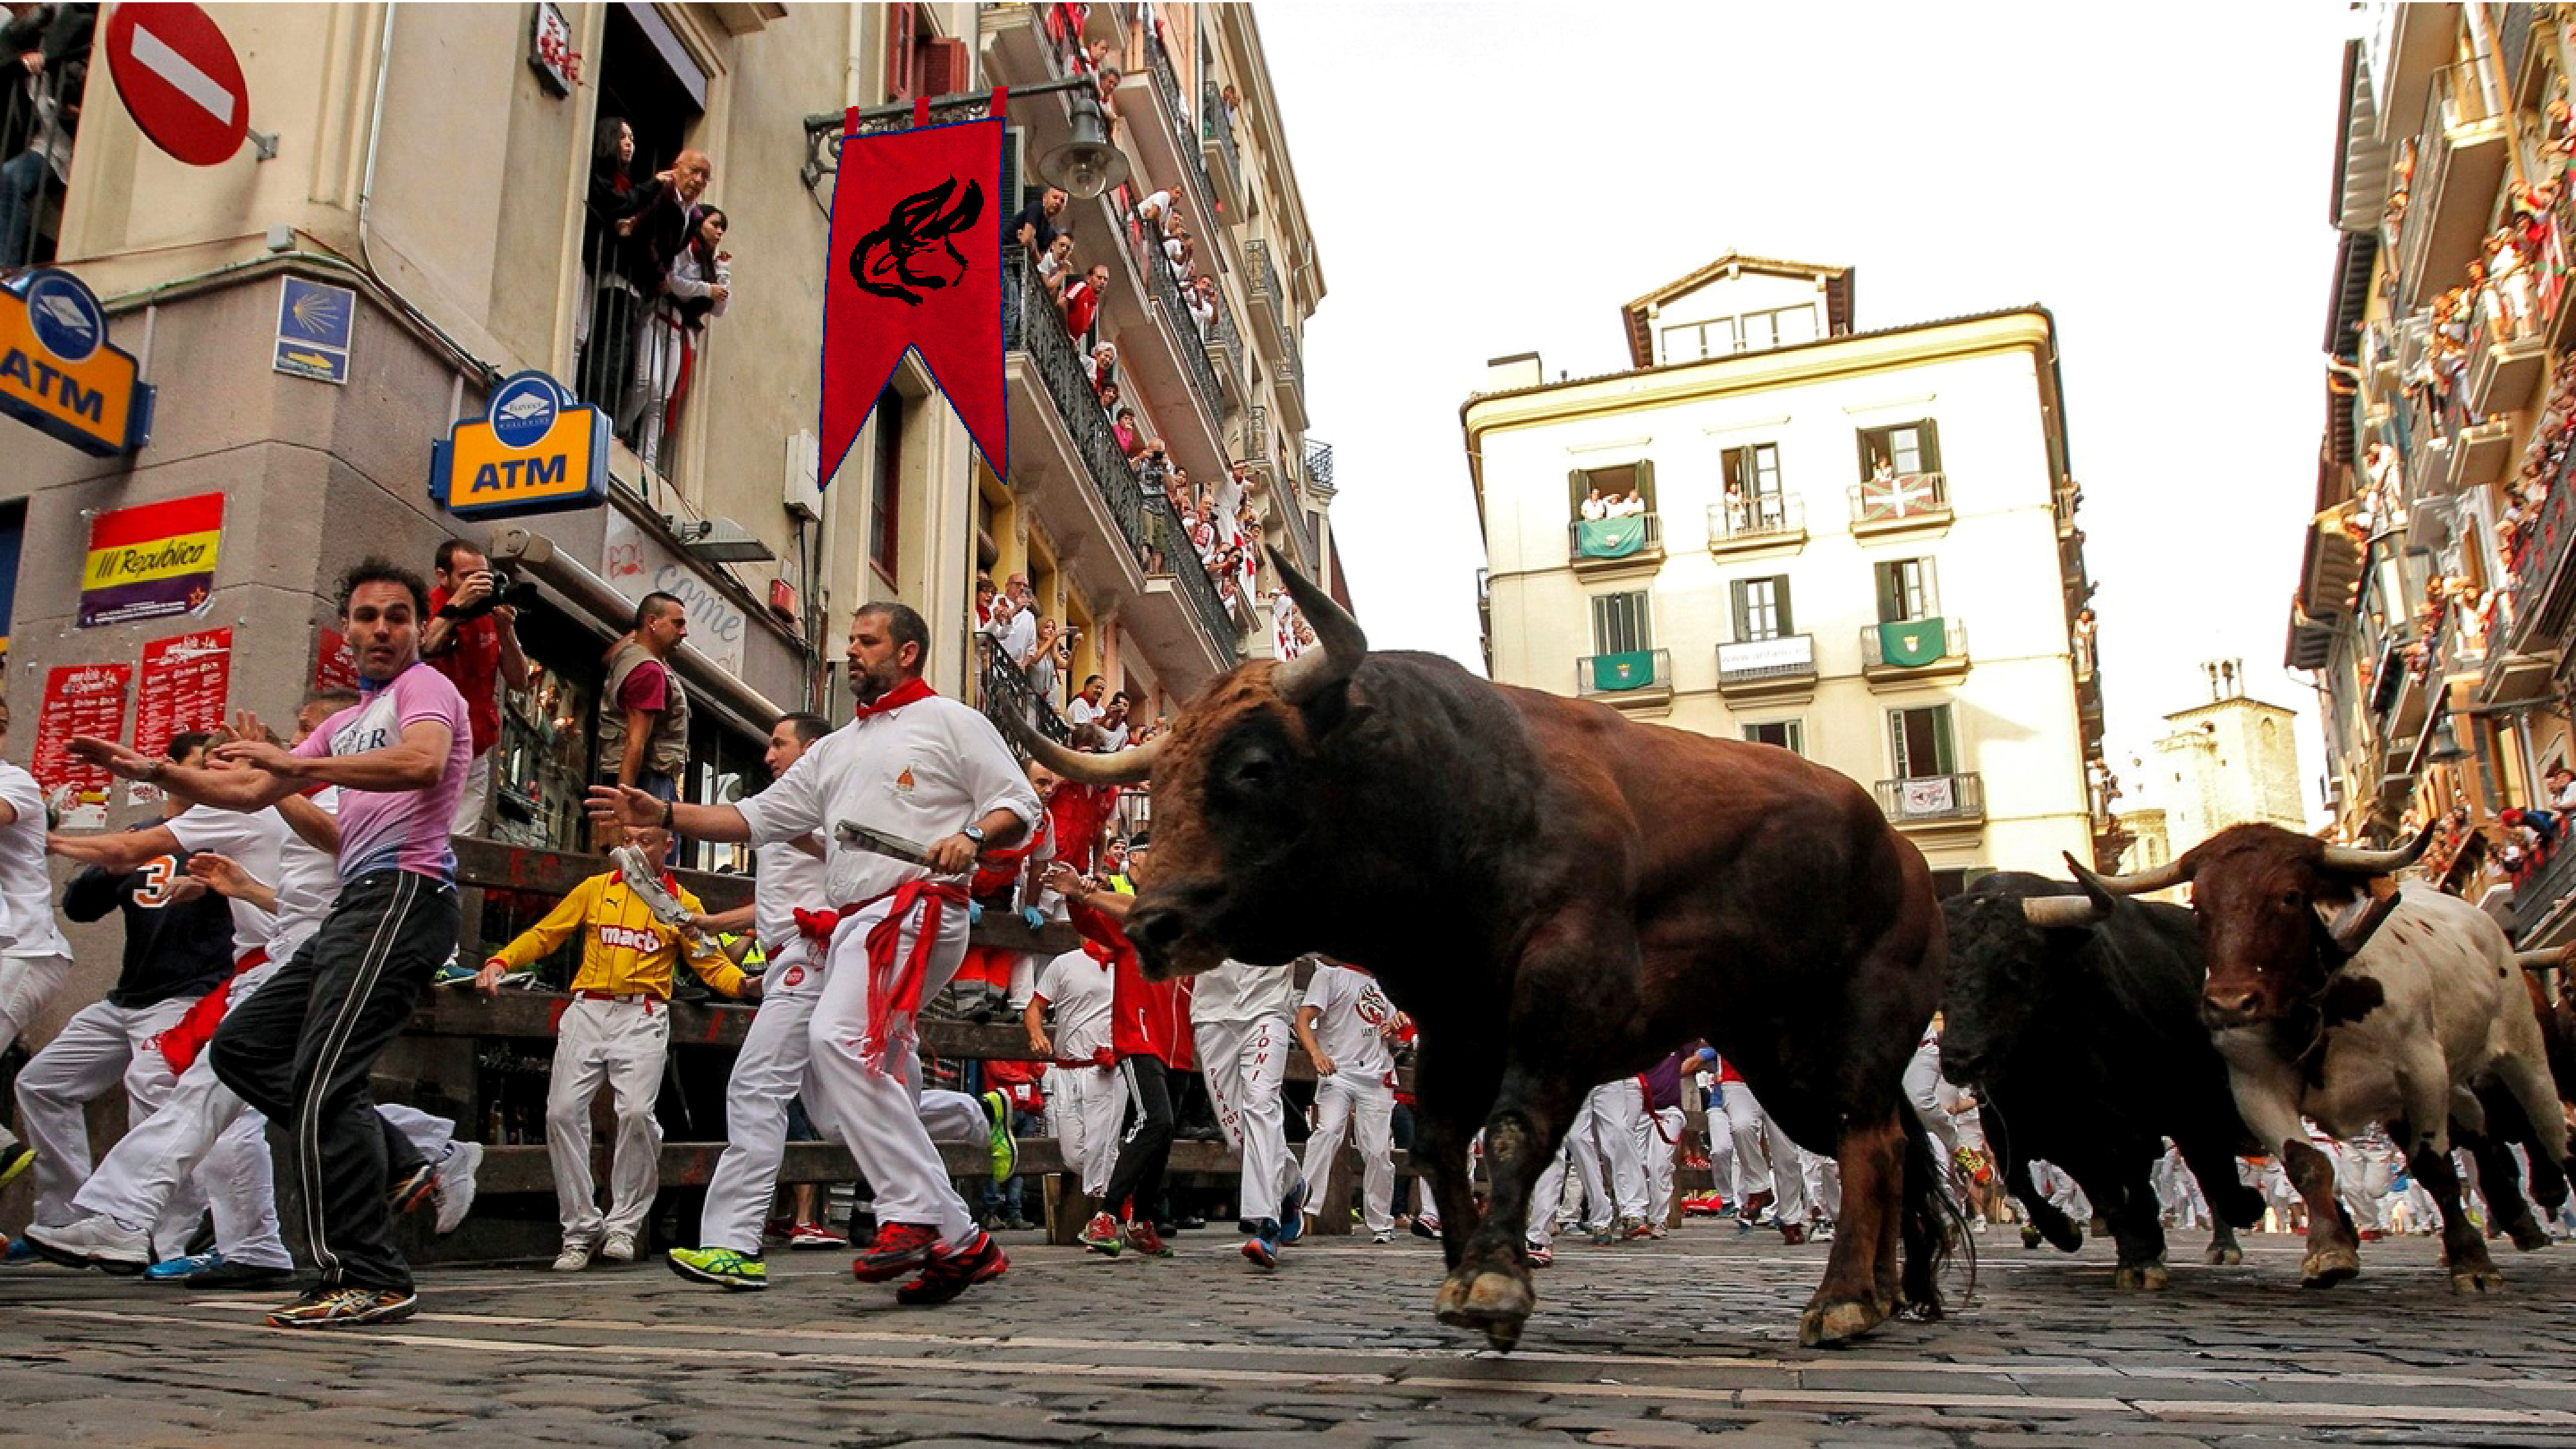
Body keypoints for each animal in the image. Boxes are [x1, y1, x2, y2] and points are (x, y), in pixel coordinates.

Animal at [1025, 549, 1947, 1340]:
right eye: (1159, 779)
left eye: (1255, 766)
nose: (1151, 923)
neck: (1459, 799)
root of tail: (1902, 854)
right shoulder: (1457, 1021)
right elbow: (1438, 1142)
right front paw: (1467, 1262)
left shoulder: (1564, 994)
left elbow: (1510, 1127)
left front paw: (1496, 1278)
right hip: (1778, 1055)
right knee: (1885, 1146)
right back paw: (1884, 1293)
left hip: (1857, 1031)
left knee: (1867, 1141)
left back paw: (1842, 1298)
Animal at [1937, 866, 2267, 1284]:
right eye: (1939, 976)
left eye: (2019, 967)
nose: (1961, 1060)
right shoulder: (2023, 1127)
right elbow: (2046, 1184)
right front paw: (2083, 1236)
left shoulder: (2137, 1119)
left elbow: (2135, 1178)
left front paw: (2143, 1255)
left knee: (2208, 1170)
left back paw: (2227, 1238)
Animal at [2081, 824, 2565, 1284]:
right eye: (2199, 905)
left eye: (2290, 896)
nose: (2229, 1004)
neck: (2312, 1008)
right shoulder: (2255, 1088)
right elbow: (2307, 1162)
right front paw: (2330, 1251)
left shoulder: (2422, 1070)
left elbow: (2434, 1165)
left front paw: (2472, 1262)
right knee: (2477, 1123)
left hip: (2523, 1053)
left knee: (2549, 1130)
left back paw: (2541, 1199)